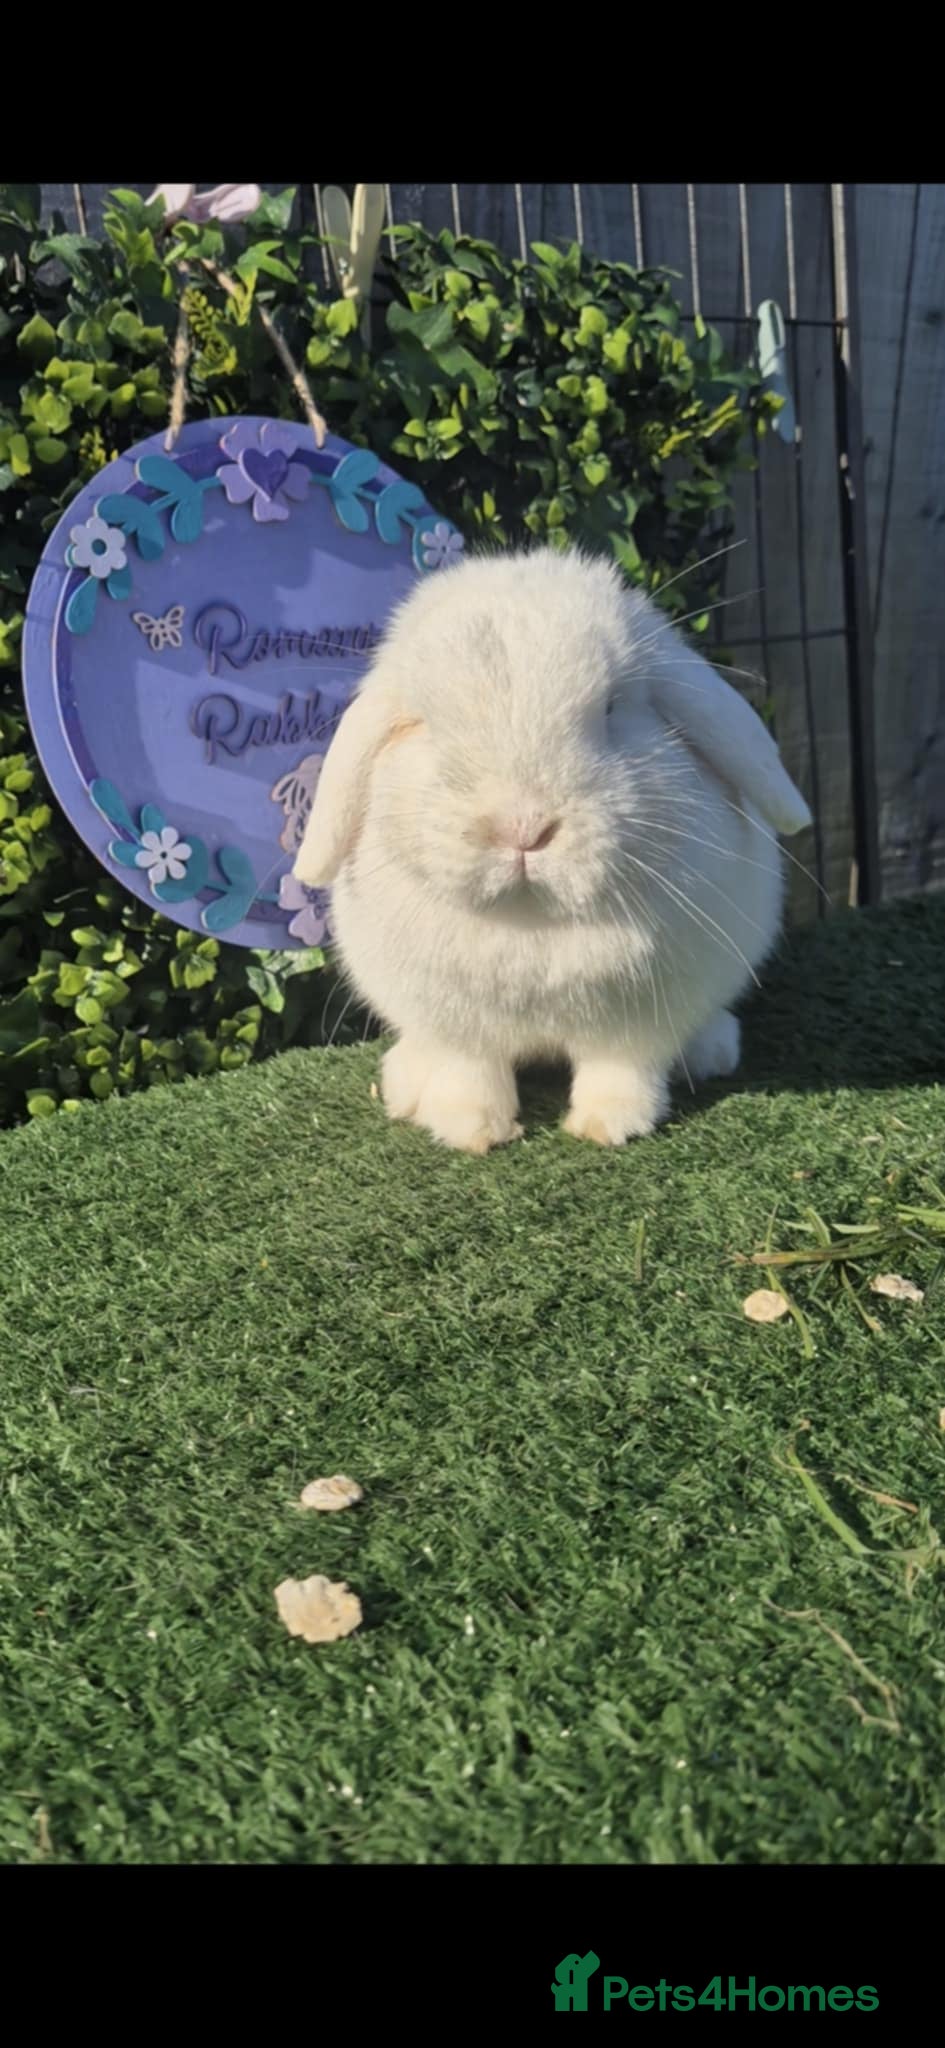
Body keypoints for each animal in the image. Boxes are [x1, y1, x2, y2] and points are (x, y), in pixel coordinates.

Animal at [293, 546, 811, 1154]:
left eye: (611, 708)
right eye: (422, 722)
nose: (522, 827)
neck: (531, 921)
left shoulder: (635, 1025)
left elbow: (621, 1070)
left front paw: (609, 1126)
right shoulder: (460, 1029)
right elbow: (470, 1073)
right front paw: (471, 1131)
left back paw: (711, 1051)